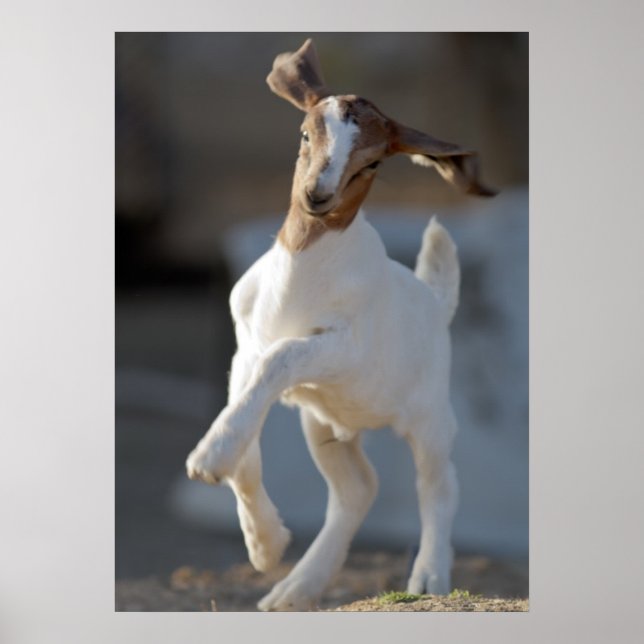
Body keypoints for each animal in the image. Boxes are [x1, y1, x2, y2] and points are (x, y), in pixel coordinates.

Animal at [186, 38, 494, 611]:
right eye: (306, 133)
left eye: (371, 162)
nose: (317, 196)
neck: (299, 280)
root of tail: (435, 300)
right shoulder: (244, 350)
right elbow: (247, 443)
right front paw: (264, 544)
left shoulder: (338, 347)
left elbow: (282, 357)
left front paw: (208, 459)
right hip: (323, 422)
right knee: (358, 488)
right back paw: (293, 588)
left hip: (429, 414)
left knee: (439, 482)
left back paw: (428, 576)